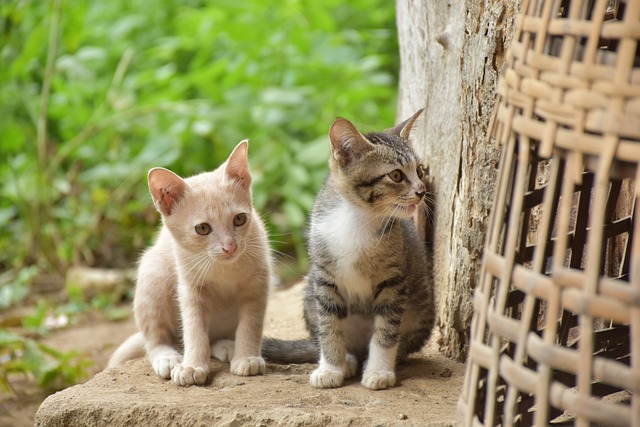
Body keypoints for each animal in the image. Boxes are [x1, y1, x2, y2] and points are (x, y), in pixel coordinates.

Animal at [109, 141, 268, 388]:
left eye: (239, 219)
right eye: (202, 228)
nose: (230, 247)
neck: (223, 269)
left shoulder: (258, 283)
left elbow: (251, 323)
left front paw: (247, 357)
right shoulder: (190, 288)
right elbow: (194, 329)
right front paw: (192, 366)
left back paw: (226, 345)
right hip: (154, 274)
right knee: (154, 339)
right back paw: (167, 357)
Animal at [262, 110, 436, 392]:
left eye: (419, 170)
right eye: (396, 175)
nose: (421, 192)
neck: (358, 218)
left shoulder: (394, 280)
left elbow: (386, 330)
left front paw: (378, 371)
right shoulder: (324, 278)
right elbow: (329, 328)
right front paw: (331, 368)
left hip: (421, 309)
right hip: (309, 292)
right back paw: (347, 361)